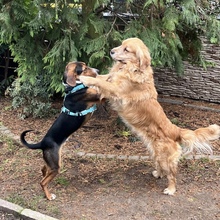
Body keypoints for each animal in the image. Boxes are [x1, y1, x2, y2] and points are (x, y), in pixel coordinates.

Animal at [20, 61, 99, 200]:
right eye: (84, 69)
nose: (98, 71)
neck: (73, 88)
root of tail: (42, 143)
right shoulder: (99, 96)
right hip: (56, 166)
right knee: (43, 182)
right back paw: (49, 196)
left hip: (52, 162)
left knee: (43, 170)